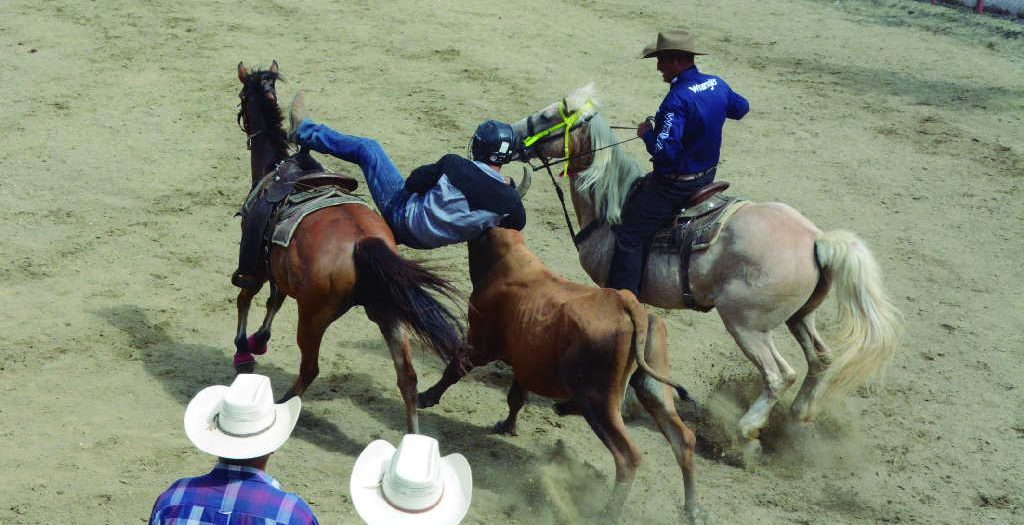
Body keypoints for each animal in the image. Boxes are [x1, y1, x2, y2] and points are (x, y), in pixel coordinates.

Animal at [234, 60, 466, 433]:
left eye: (242, 97)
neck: (275, 169)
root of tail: (362, 242)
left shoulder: (255, 260)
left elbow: (246, 297)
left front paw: (244, 348)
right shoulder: (279, 268)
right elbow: (274, 300)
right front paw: (260, 338)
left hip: (313, 318)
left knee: (310, 368)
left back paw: (284, 405)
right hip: (388, 311)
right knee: (407, 378)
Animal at [417, 228, 704, 523]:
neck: (504, 264)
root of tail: (628, 303)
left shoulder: (480, 345)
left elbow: (455, 368)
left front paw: (425, 397)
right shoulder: (525, 363)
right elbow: (516, 397)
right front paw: (507, 426)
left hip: (597, 398)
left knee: (628, 456)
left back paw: (608, 512)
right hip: (652, 388)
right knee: (683, 439)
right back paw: (692, 509)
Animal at [507, 84, 901, 454]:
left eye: (546, 117)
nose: (511, 134)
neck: (612, 206)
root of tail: (815, 238)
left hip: (746, 324)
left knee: (779, 375)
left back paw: (746, 433)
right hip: (800, 317)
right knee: (820, 359)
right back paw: (799, 415)